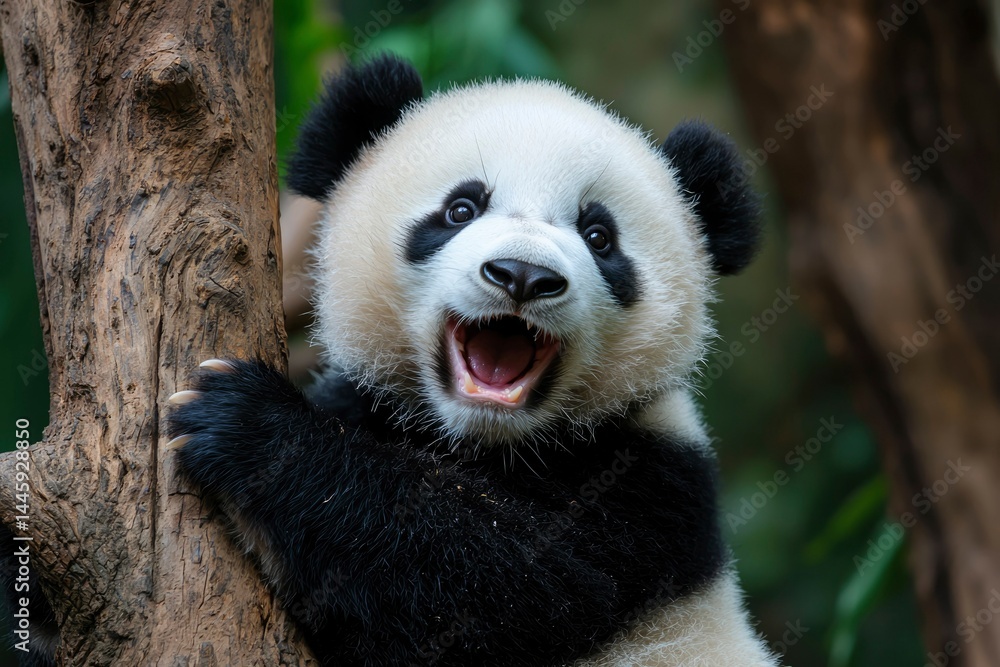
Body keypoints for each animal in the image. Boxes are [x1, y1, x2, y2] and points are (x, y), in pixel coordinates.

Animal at [167, 54, 779, 667]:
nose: (523, 275)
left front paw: (247, 424)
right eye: (461, 208)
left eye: (599, 236)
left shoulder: (646, 491)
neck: (481, 441)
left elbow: (500, 591)